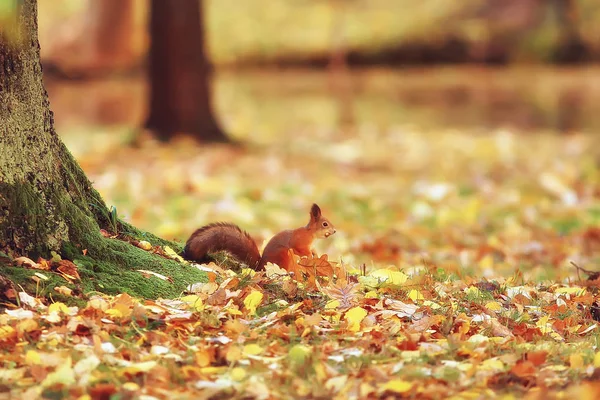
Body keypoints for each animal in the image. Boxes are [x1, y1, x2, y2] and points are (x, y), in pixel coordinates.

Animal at [180, 203, 336, 272]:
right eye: (325, 224)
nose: (334, 231)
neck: (310, 234)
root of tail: (260, 266)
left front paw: (315, 253)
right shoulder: (299, 242)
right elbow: (301, 250)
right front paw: (310, 255)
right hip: (284, 257)